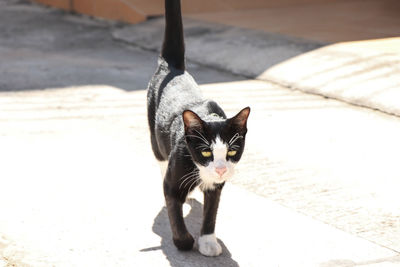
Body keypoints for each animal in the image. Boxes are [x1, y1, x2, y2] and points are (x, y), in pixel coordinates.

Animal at [145, 0, 248, 258]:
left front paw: (208, 241)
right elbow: (174, 209)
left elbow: (211, 211)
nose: (220, 169)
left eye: (232, 151)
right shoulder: (173, 182)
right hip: (155, 136)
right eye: (206, 151)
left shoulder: (216, 186)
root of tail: (172, 68)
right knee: (160, 160)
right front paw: (185, 241)